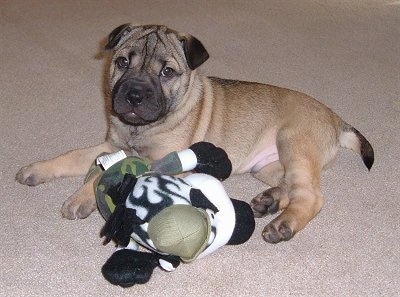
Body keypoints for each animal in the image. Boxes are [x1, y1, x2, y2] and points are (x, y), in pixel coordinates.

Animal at [14, 24, 372, 243]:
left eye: (167, 72)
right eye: (122, 62)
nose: (134, 95)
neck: (140, 128)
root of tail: (336, 120)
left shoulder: (161, 160)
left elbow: (105, 176)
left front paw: (80, 198)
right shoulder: (111, 145)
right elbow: (72, 156)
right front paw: (36, 170)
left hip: (293, 143)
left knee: (311, 195)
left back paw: (283, 224)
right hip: (267, 166)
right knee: (291, 186)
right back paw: (269, 201)